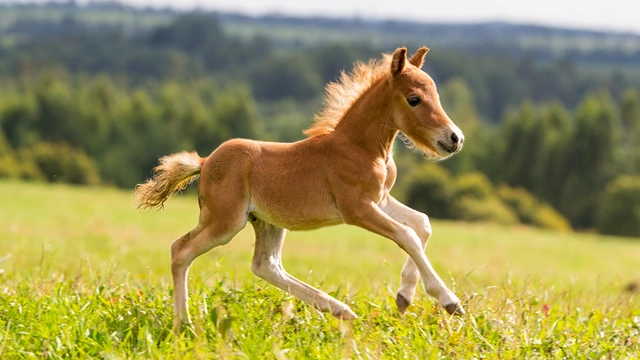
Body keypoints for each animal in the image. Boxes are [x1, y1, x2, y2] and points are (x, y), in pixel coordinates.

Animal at [135, 46, 464, 328]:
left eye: (436, 95)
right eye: (414, 99)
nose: (455, 138)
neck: (362, 147)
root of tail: (204, 162)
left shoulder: (380, 199)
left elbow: (422, 224)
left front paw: (404, 296)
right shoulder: (356, 208)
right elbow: (407, 235)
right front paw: (449, 301)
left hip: (265, 221)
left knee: (264, 265)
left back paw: (340, 310)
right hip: (226, 221)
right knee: (181, 251)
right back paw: (184, 324)